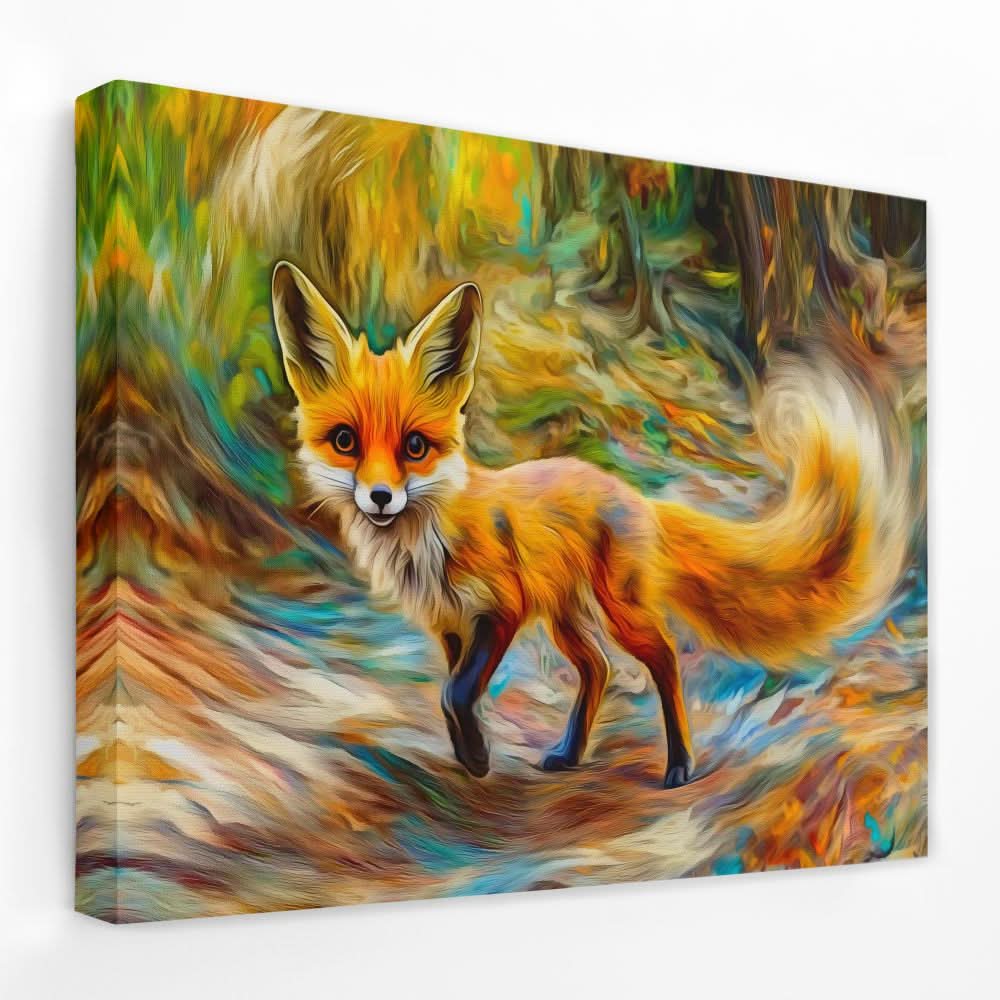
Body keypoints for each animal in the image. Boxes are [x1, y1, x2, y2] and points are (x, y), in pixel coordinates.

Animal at [271, 260, 910, 789]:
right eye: (346, 442)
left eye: (414, 447)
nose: (380, 498)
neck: (427, 542)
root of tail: (634, 496)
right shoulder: (450, 626)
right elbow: (453, 693)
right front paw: (469, 755)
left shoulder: (501, 609)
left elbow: (457, 691)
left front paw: (476, 757)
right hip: (565, 619)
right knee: (598, 668)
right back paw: (571, 754)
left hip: (617, 609)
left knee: (664, 657)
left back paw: (680, 763)